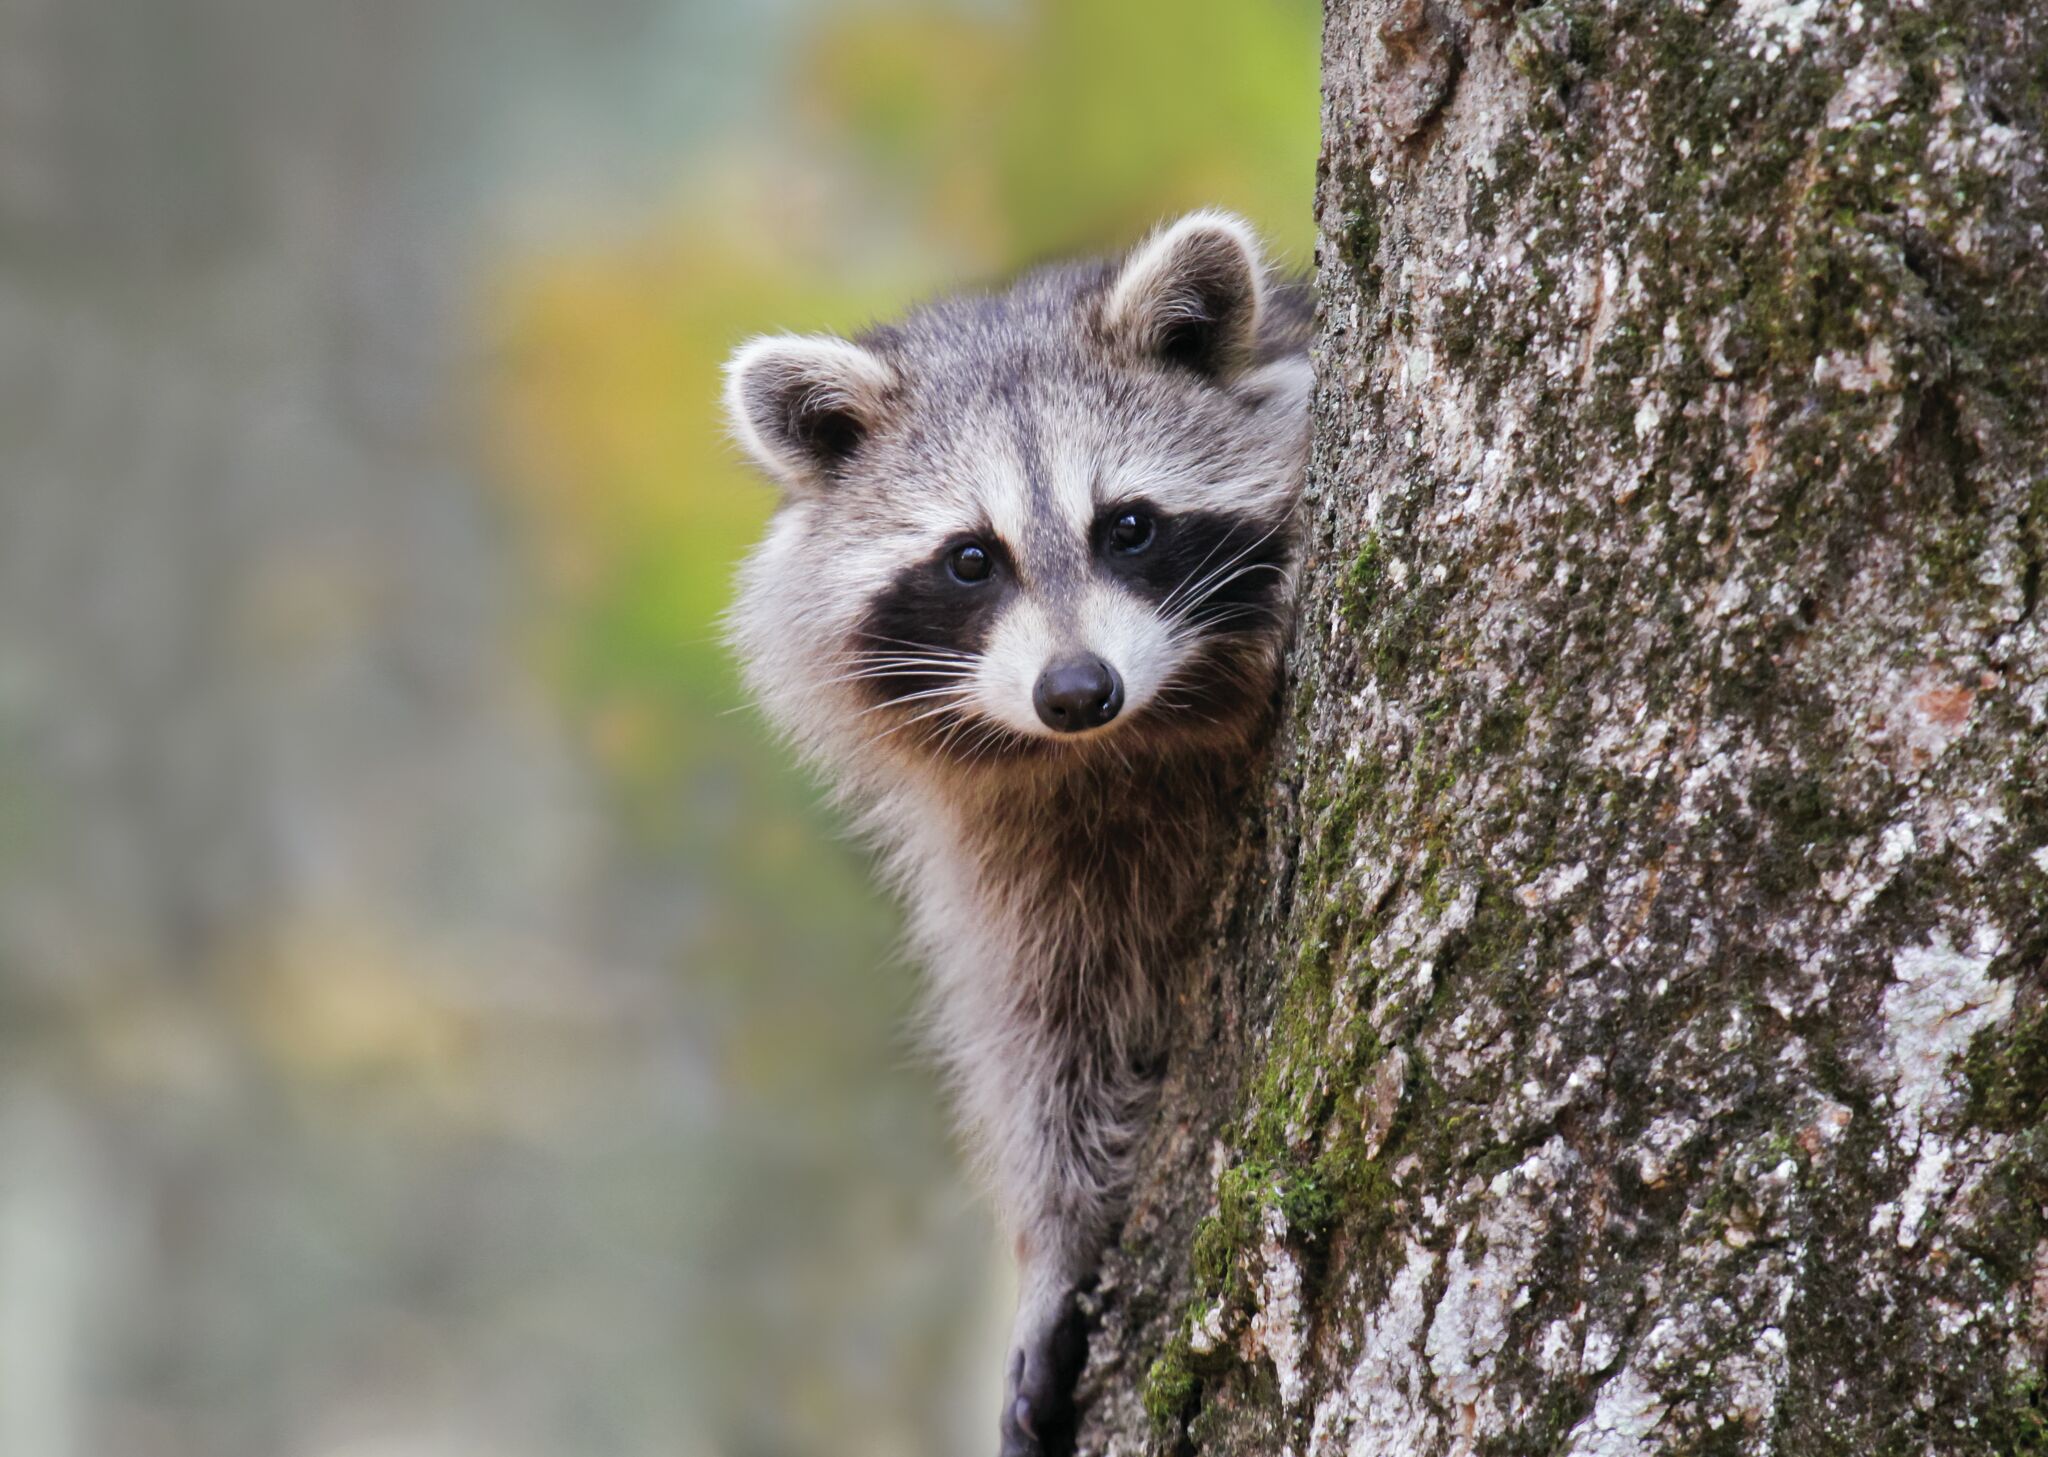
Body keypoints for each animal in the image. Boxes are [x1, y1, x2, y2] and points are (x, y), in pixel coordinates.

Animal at [723, 211, 1311, 1456]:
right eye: (969, 557)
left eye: (1127, 526)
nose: (1076, 688)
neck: (1118, 746)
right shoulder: (1010, 841)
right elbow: (1045, 1021)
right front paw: (1059, 1239)